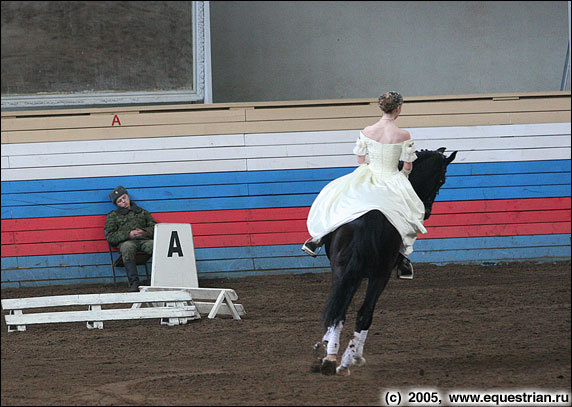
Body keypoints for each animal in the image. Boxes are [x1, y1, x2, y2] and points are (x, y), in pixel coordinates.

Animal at [312, 147, 456, 376]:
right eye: (441, 179)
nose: (427, 211)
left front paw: (328, 346)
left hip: (351, 271)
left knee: (346, 312)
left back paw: (336, 359)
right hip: (375, 275)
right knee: (359, 313)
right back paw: (346, 359)